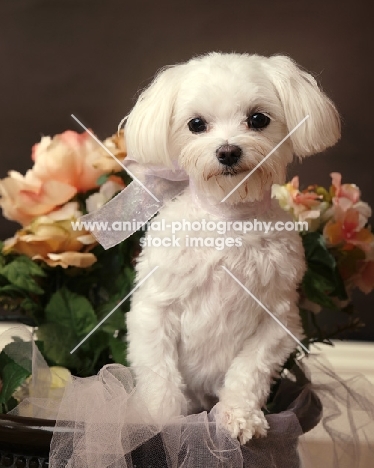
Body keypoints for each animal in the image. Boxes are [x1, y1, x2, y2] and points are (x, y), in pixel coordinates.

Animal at [124, 53, 340, 444]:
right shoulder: (153, 311)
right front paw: (161, 423)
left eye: (258, 119)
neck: (229, 220)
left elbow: (249, 372)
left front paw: (240, 415)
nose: (228, 151)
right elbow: (159, 377)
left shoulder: (278, 321)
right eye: (196, 124)